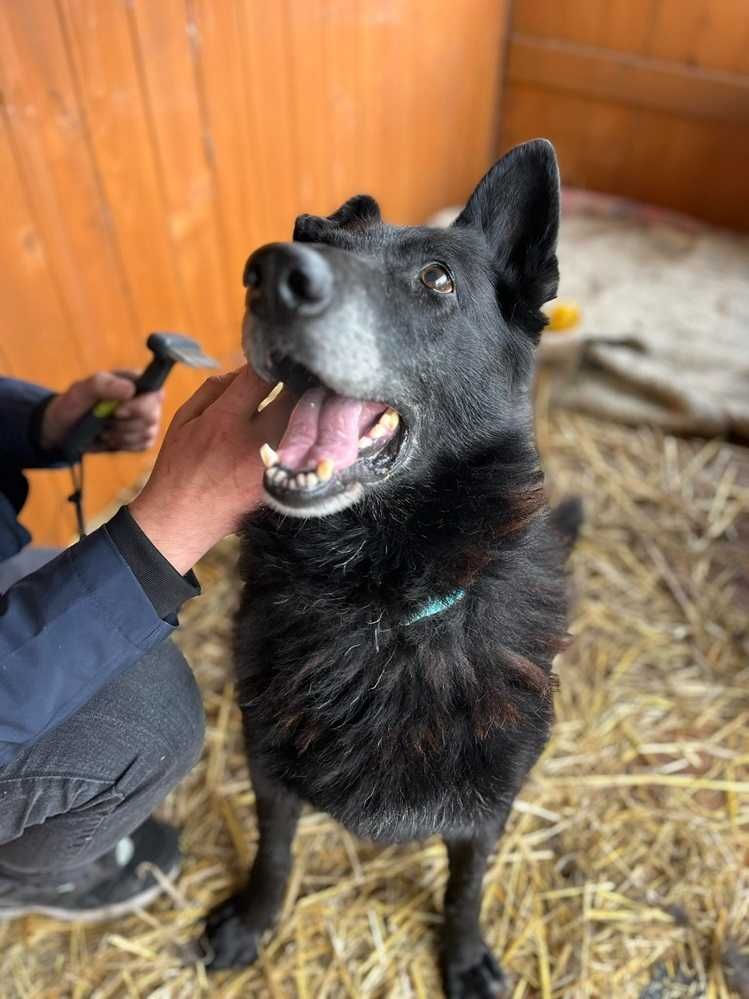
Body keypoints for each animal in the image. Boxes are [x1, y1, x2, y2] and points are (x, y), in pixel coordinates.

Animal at [202, 139, 576, 992]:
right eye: (313, 233)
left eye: (436, 278)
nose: (268, 268)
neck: (380, 598)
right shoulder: (266, 765)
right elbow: (273, 855)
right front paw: (252, 920)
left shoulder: (488, 804)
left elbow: (465, 886)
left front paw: (463, 956)